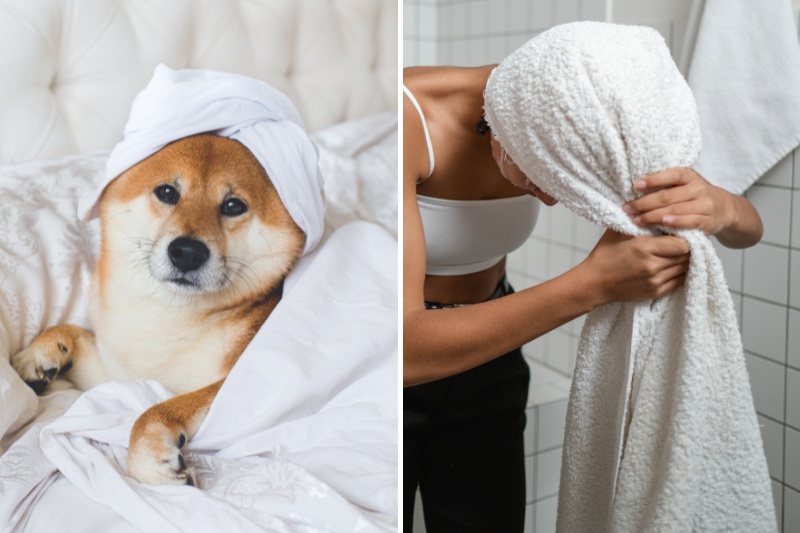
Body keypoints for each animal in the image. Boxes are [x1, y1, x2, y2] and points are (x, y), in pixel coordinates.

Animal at [10, 134, 304, 486]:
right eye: (167, 192)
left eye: (233, 206)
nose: (188, 252)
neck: (173, 321)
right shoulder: (118, 375)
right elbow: (75, 332)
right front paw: (40, 353)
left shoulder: (240, 384)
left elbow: (157, 409)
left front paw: (150, 456)